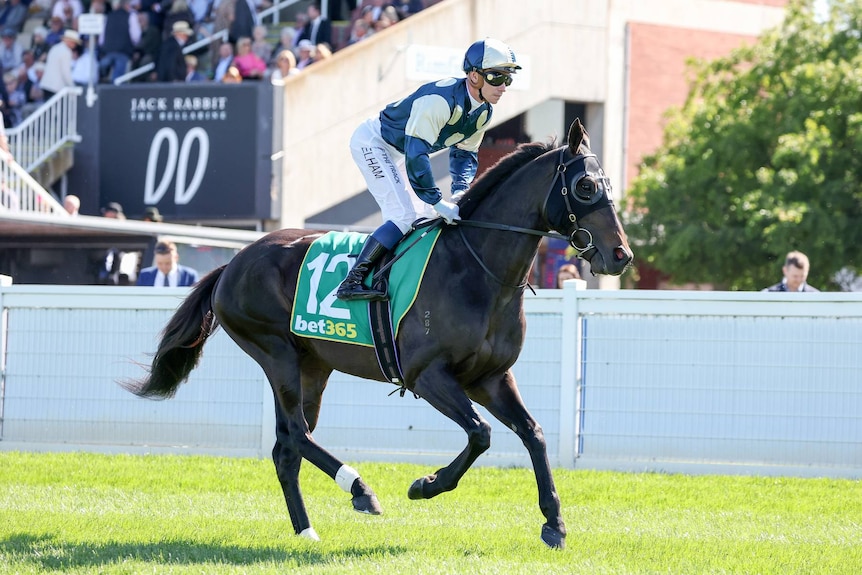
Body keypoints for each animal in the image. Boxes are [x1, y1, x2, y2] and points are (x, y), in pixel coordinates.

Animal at [123, 119, 636, 552]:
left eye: (609, 186)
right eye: (586, 186)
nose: (621, 255)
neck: (475, 268)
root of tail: (232, 262)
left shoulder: (490, 378)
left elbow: (534, 434)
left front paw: (555, 524)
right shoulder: (429, 376)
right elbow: (481, 433)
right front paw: (426, 485)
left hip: (314, 366)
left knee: (287, 446)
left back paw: (306, 529)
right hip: (275, 354)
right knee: (297, 433)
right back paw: (361, 489)